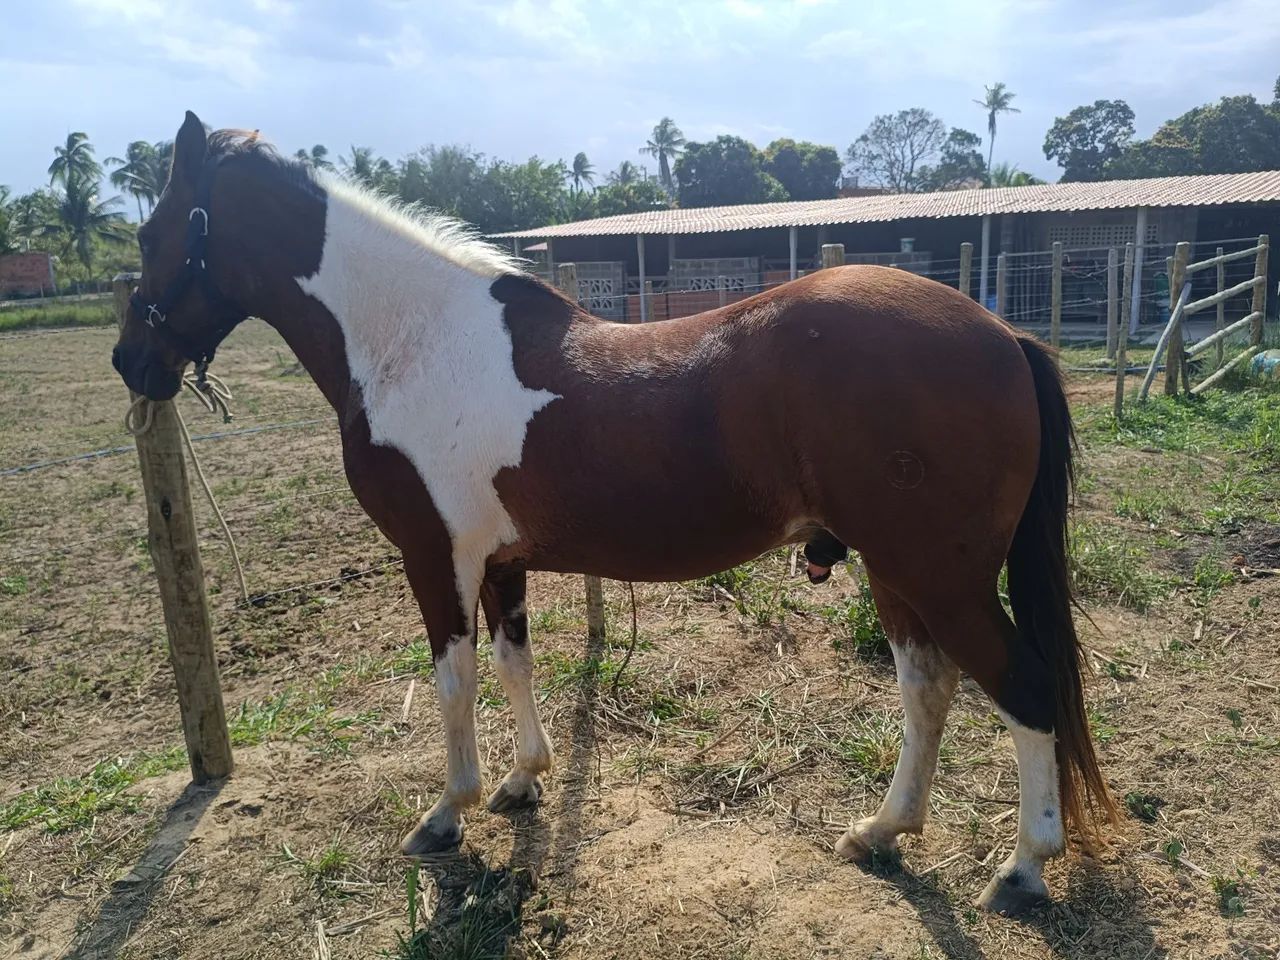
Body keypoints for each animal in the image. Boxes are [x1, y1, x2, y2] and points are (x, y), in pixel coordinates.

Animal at [112, 112, 1117, 914]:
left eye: (156, 233)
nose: (130, 363)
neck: (414, 339)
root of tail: (1001, 333)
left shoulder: (436, 559)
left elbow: (454, 684)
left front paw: (447, 814)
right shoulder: (501, 563)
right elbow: (514, 666)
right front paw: (523, 781)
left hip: (938, 574)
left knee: (1024, 691)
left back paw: (1023, 869)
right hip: (902, 572)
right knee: (929, 689)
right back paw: (880, 831)